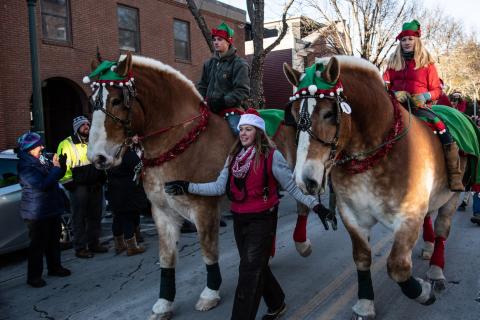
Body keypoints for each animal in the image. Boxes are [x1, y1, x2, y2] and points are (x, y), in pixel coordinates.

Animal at [86, 53, 310, 320]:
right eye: (91, 101)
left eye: (117, 100)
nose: (97, 157)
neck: (180, 142)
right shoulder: (162, 212)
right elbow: (166, 258)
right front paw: (164, 304)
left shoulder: (204, 209)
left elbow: (208, 250)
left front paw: (210, 293)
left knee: (302, 207)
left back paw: (302, 245)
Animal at [284, 57, 466, 320]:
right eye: (294, 114)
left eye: (329, 114)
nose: (304, 179)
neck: (377, 154)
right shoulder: (352, 216)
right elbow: (362, 258)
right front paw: (365, 303)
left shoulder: (409, 216)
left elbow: (398, 268)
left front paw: (422, 291)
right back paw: (429, 248)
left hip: (452, 197)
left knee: (442, 229)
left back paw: (435, 270)